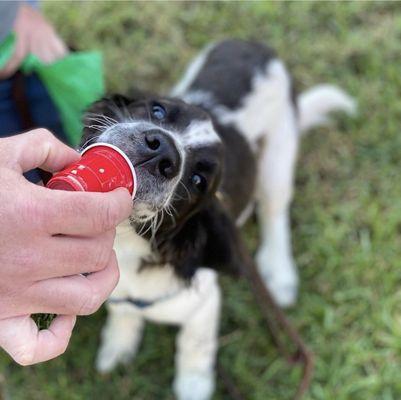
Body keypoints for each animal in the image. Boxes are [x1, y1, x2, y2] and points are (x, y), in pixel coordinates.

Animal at [80, 38, 354, 400]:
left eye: (199, 180)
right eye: (157, 111)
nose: (161, 149)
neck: (127, 241)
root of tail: (258, 46)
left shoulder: (204, 302)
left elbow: (195, 345)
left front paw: (194, 385)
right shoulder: (117, 292)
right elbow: (123, 310)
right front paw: (118, 344)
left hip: (278, 158)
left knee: (274, 211)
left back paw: (279, 273)